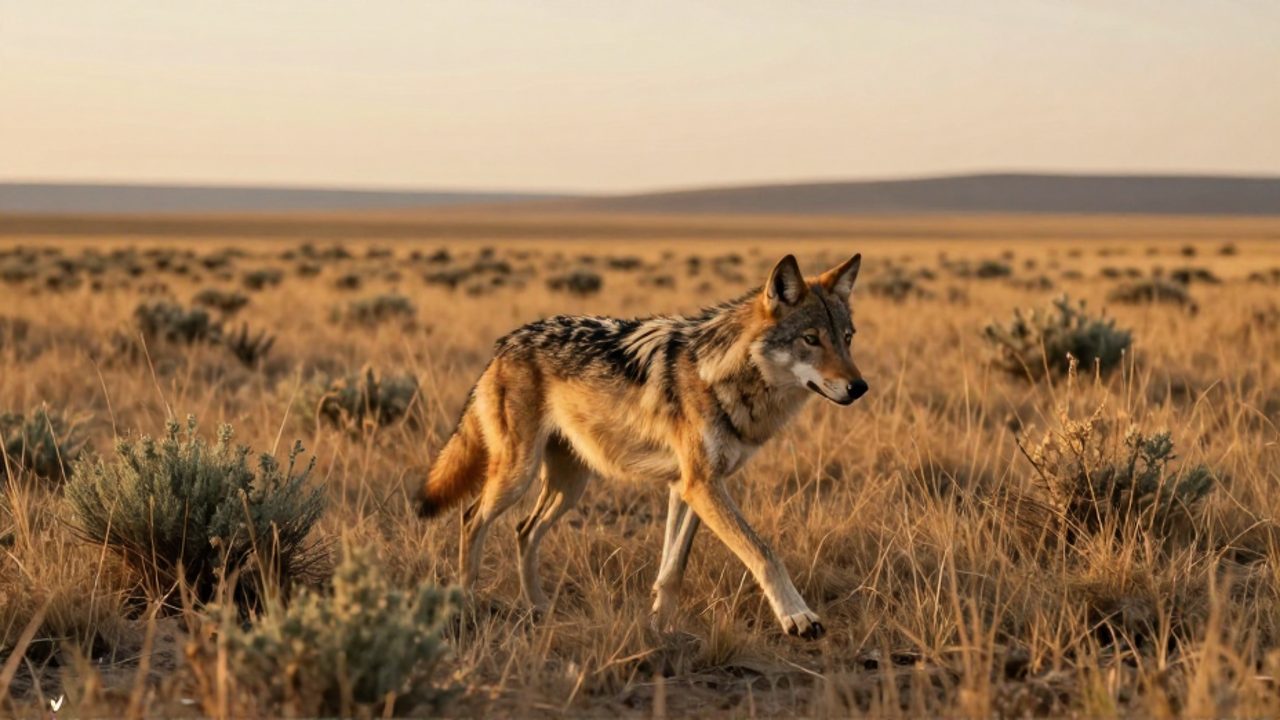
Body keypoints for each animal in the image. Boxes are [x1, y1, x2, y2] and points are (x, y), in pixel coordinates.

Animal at [417, 254, 867, 639]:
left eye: (846, 339)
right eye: (810, 339)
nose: (859, 387)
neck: (723, 377)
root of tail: (505, 344)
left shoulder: (690, 486)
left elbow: (673, 568)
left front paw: (660, 628)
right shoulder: (702, 485)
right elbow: (764, 552)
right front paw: (798, 617)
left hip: (571, 484)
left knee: (524, 531)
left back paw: (540, 608)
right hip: (517, 474)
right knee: (472, 518)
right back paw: (465, 607)